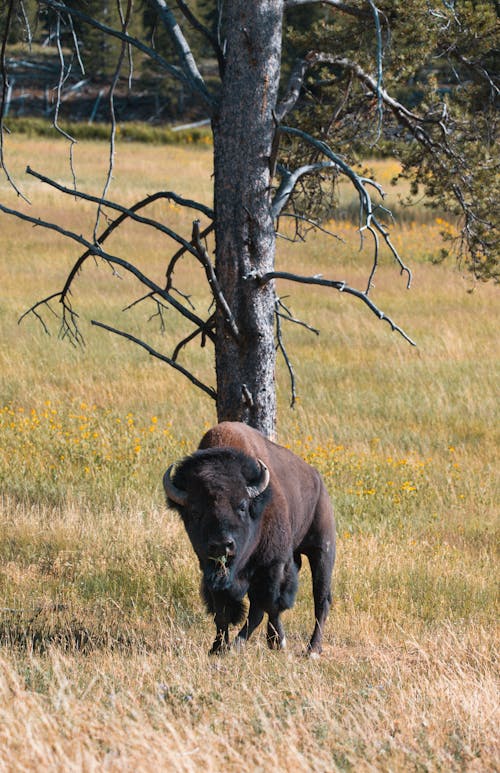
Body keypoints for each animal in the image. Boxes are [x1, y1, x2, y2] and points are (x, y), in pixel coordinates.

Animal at [164, 420, 336, 656]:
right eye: (195, 512)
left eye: (242, 506)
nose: (222, 545)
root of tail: (317, 478)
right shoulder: (211, 572)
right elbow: (223, 613)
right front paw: (218, 648)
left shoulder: (271, 567)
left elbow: (261, 609)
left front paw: (238, 645)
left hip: (322, 550)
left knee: (321, 600)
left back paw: (312, 650)